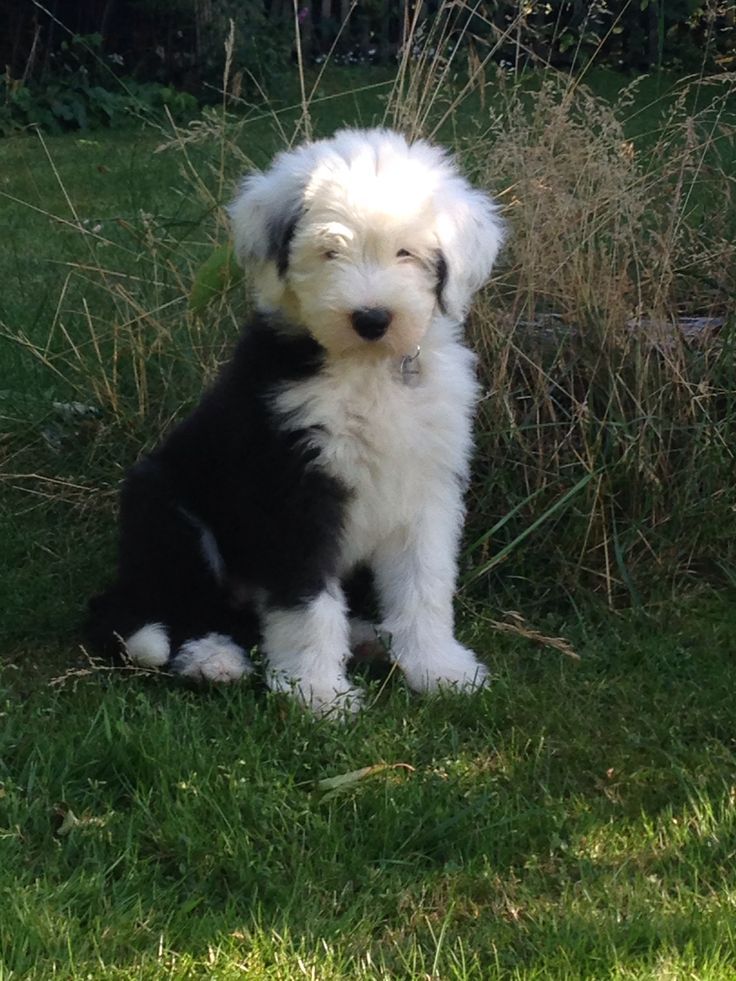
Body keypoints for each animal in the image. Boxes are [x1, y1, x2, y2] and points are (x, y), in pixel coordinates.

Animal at [85, 126, 500, 716]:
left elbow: (425, 585)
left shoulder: (426, 488)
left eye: (407, 253)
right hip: (166, 510)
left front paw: (439, 669)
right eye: (330, 251)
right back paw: (213, 659)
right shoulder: (294, 486)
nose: (372, 319)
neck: (365, 369)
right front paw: (318, 694)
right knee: (181, 607)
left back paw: (367, 638)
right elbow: (305, 602)